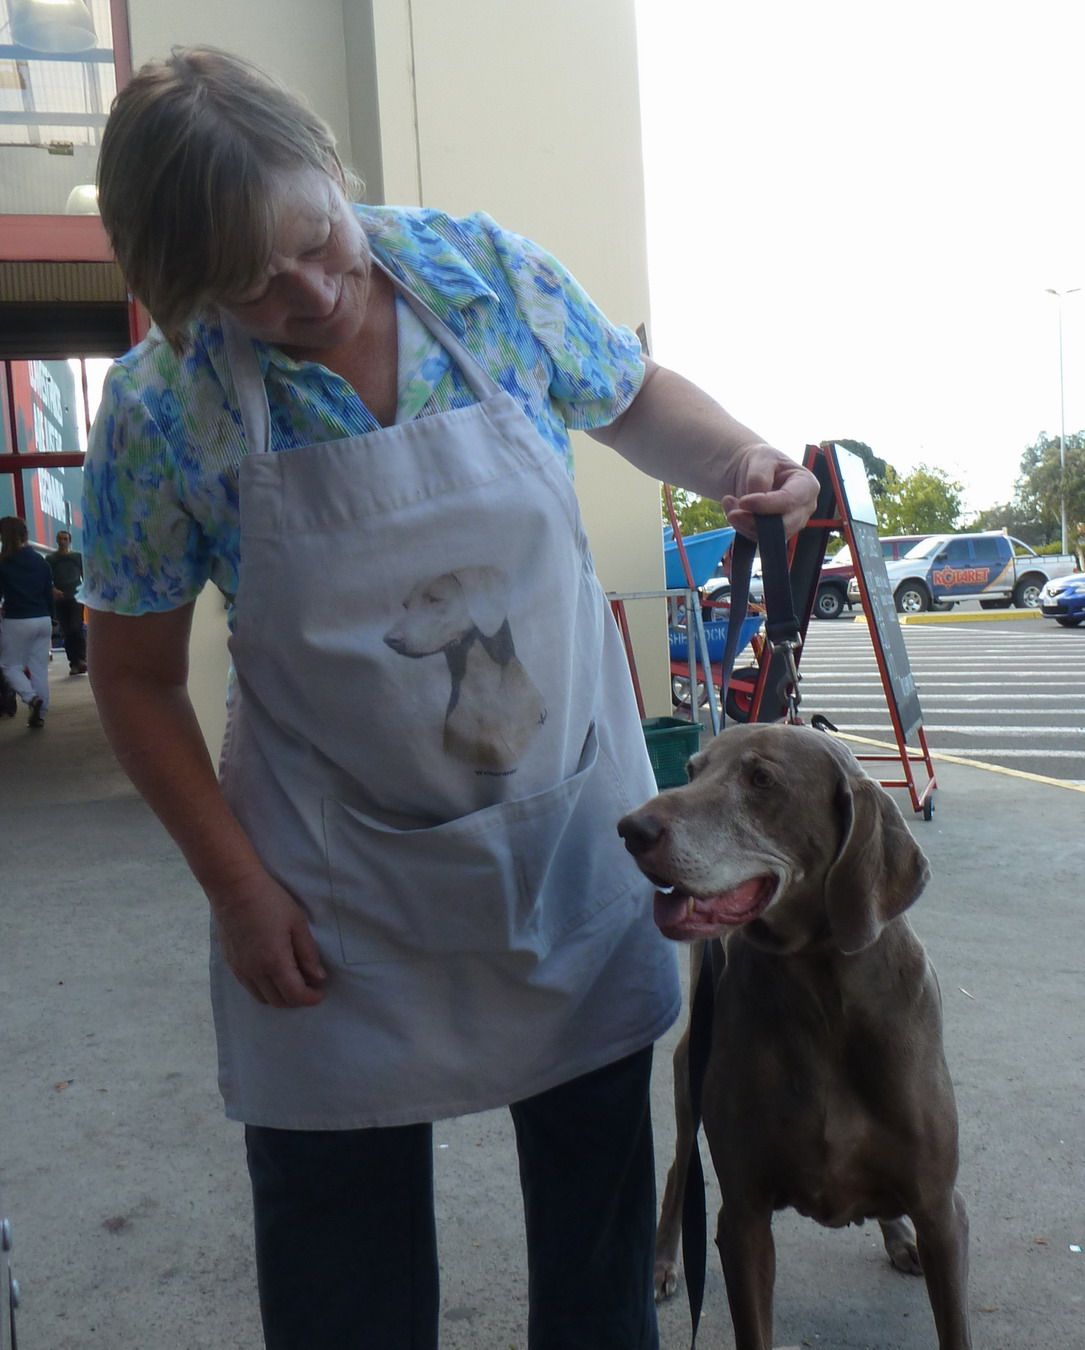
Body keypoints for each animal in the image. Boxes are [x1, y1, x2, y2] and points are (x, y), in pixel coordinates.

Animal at [617, 722, 971, 1350]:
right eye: (690, 770)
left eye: (761, 779)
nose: (632, 828)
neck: (822, 995)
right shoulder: (743, 1216)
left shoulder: (942, 1211)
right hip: (689, 1079)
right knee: (679, 1166)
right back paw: (661, 1264)